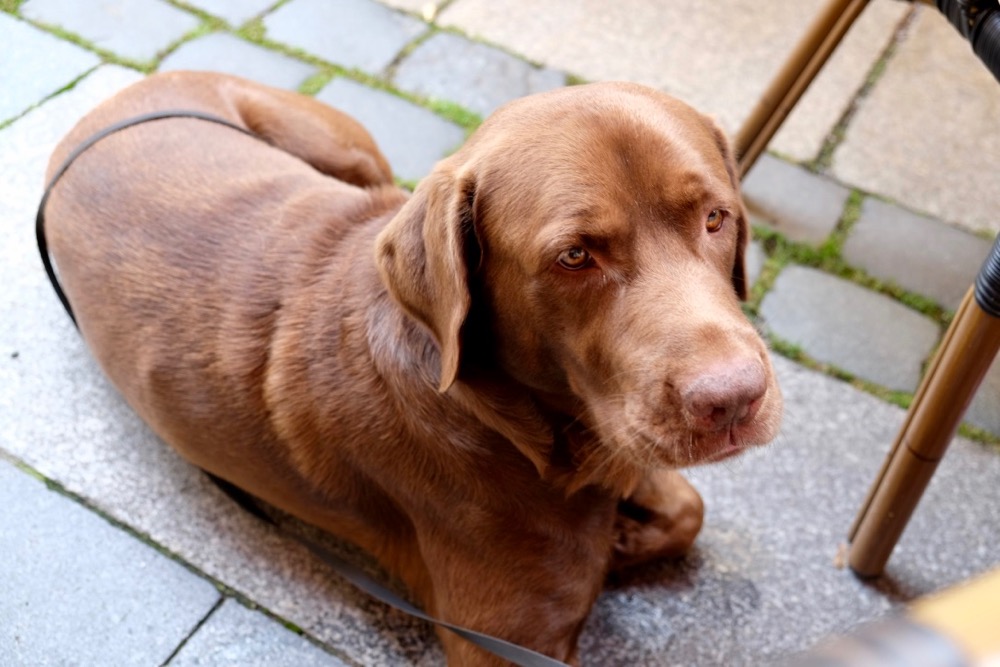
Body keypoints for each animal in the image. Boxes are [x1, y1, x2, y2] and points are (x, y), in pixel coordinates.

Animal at [42, 71, 782, 665]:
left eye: (716, 218)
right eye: (574, 256)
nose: (733, 399)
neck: (512, 425)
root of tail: (105, 103)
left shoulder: (622, 445)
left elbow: (688, 505)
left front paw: (625, 538)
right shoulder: (505, 645)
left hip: (342, 150)